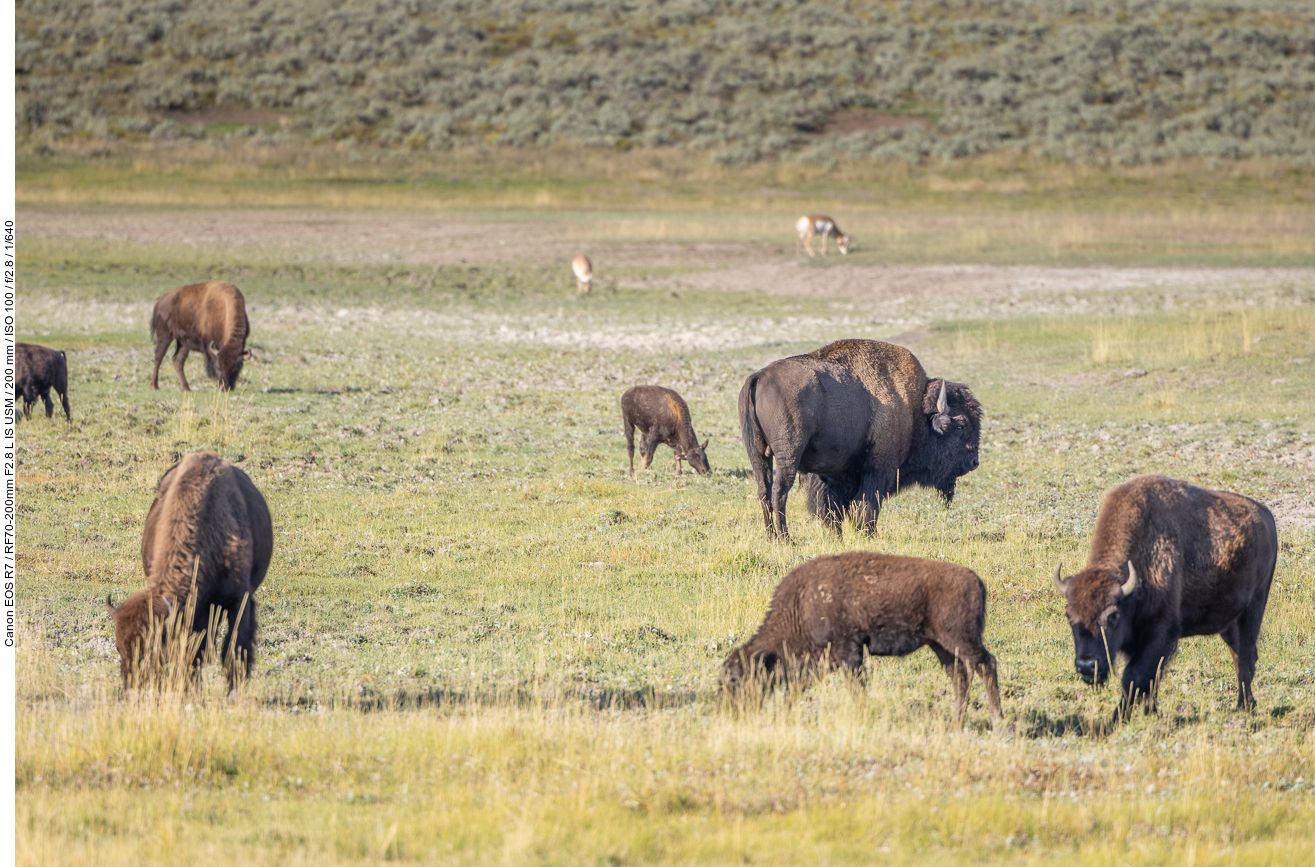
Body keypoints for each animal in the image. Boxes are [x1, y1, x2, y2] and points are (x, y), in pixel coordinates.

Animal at [725, 552, 999, 731]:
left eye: (736, 679)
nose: (731, 712)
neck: (801, 605)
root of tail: (976, 580)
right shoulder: (824, 660)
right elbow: (798, 688)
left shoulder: (849, 654)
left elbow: (856, 689)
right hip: (940, 645)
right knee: (960, 675)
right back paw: (956, 723)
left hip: (961, 639)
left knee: (986, 665)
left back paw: (998, 721)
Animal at [736, 342, 983, 539]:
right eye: (960, 426)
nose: (974, 462)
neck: (914, 408)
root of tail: (759, 377)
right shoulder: (878, 468)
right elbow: (866, 505)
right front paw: (869, 535)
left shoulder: (830, 473)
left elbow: (831, 507)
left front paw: (837, 537)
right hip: (788, 453)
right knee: (779, 491)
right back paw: (786, 539)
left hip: (756, 452)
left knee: (764, 491)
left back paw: (770, 536)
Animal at [1052, 473, 1278, 720]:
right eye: (1069, 616)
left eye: (1112, 616)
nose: (1086, 666)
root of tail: (1266, 517)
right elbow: (1150, 678)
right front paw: (1150, 711)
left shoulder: (1160, 631)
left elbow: (1134, 676)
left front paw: (1117, 718)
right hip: (1229, 622)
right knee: (1240, 655)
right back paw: (1244, 705)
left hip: (1254, 608)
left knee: (1246, 655)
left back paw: (1245, 706)